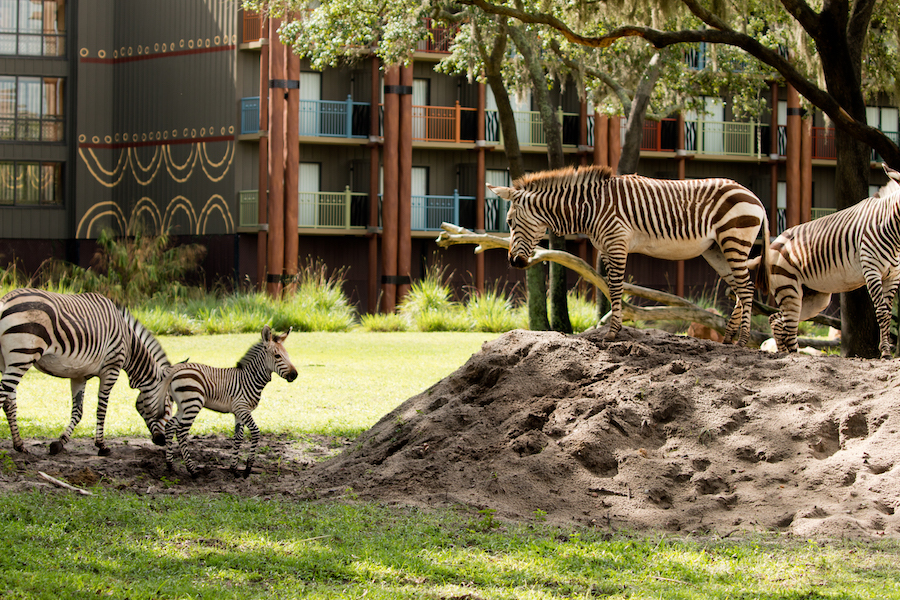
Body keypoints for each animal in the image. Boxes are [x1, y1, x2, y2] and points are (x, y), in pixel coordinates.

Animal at [0, 290, 172, 454]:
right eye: (168, 405)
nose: (162, 441)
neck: (129, 343)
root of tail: (5, 301)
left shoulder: (79, 376)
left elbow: (78, 412)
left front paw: (60, 443)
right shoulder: (111, 369)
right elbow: (102, 409)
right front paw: (101, 445)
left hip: (8, 363)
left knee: (9, 404)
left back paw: (20, 445)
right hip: (22, 357)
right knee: (3, 397)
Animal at [164, 326, 298, 476]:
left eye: (287, 355)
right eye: (277, 356)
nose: (295, 375)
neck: (249, 379)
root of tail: (175, 372)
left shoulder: (239, 413)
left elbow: (238, 437)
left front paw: (234, 469)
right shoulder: (242, 408)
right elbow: (255, 433)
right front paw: (248, 468)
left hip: (183, 406)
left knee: (169, 426)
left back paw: (170, 465)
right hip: (193, 403)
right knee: (181, 432)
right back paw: (192, 470)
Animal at [488, 166, 768, 350]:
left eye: (509, 222)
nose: (514, 262)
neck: (589, 207)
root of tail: (754, 195)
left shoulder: (616, 242)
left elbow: (615, 288)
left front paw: (612, 334)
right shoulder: (606, 247)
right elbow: (610, 288)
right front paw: (616, 329)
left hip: (733, 239)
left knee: (746, 287)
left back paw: (743, 341)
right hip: (716, 249)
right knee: (738, 289)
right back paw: (729, 338)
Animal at [764, 163, 900, 356]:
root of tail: (774, 243)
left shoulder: (893, 275)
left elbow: (888, 312)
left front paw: (885, 350)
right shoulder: (872, 270)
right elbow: (881, 312)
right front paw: (886, 353)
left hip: (813, 298)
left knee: (777, 320)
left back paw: (785, 354)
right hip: (788, 287)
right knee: (788, 328)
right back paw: (793, 356)